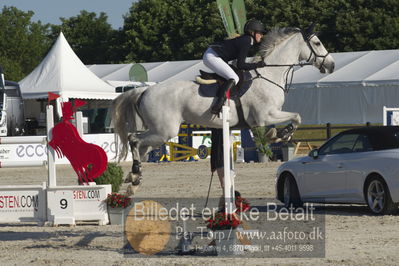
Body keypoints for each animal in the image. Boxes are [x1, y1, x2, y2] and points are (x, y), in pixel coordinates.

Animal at [114, 26, 336, 186]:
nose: (332, 65)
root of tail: (144, 91)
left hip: (158, 133)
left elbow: (294, 118)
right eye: (317, 43)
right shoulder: (266, 115)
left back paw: (135, 175)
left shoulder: (266, 117)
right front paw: (282, 134)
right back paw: (135, 171)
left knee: (140, 145)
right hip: (164, 131)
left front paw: (280, 134)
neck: (269, 75)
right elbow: (296, 116)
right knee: (134, 139)